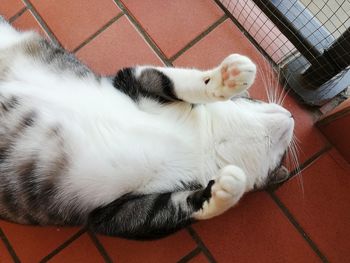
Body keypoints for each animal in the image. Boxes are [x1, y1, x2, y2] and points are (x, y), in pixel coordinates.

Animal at [0, 17, 294, 241]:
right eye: (256, 100)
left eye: (280, 159)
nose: (291, 115)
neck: (205, 141)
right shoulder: (133, 81)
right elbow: (174, 81)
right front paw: (227, 79)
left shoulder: (115, 212)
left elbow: (168, 209)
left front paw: (225, 190)